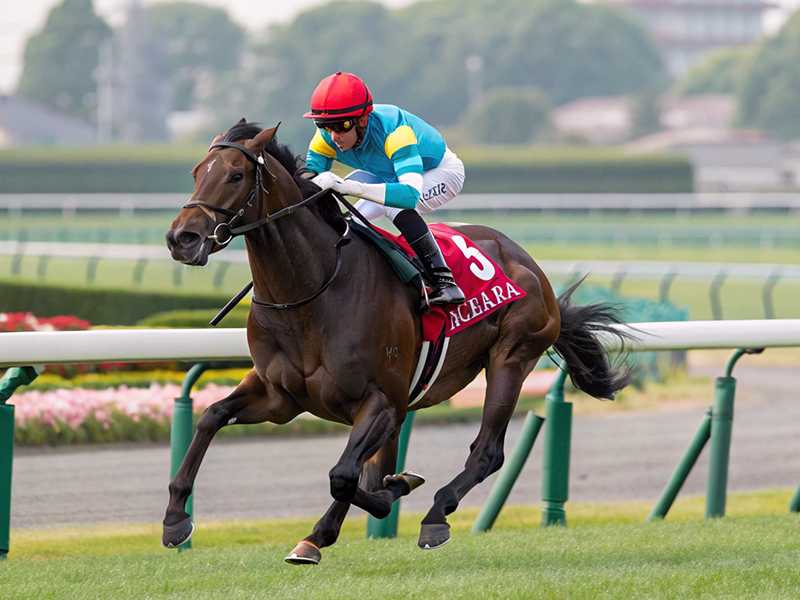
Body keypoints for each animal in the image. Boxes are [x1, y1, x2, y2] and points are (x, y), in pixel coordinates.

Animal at [163, 119, 634, 564]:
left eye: (236, 175)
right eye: (196, 172)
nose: (181, 239)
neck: (311, 291)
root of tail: (528, 263)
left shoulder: (382, 400)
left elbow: (344, 477)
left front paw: (347, 518)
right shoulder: (280, 397)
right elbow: (211, 417)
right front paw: (174, 520)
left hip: (512, 357)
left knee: (486, 452)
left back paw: (435, 515)